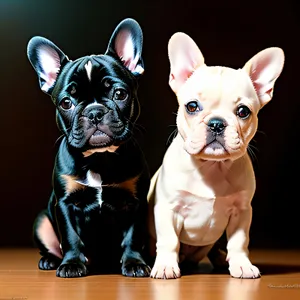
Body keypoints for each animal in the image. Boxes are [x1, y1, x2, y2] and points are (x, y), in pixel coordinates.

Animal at [27, 17, 151, 278]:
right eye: (66, 102)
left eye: (120, 93)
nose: (94, 112)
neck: (99, 158)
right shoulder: (65, 204)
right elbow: (71, 238)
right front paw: (72, 264)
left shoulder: (136, 202)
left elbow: (133, 236)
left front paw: (134, 263)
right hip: (42, 221)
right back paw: (50, 261)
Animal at [149, 32, 284, 278]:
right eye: (192, 106)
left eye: (243, 111)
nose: (216, 123)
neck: (212, 166)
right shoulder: (168, 208)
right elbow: (169, 240)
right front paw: (165, 265)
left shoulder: (241, 211)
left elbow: (239, 241)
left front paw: (242, 264)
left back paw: (222, 258)